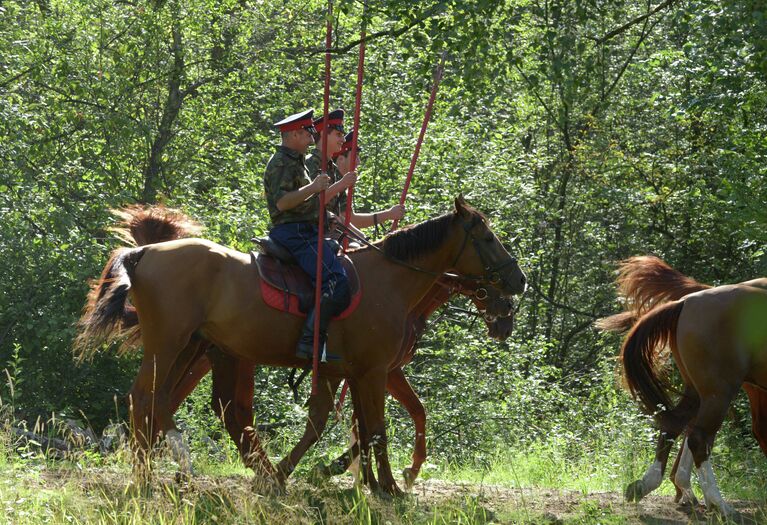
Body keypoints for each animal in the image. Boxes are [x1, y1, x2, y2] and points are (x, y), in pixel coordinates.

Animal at [75, 194, 524, 494]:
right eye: (487, 237)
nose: (517, 284)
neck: (389, 282)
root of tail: (144, 251)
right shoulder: (376, 371)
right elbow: (377, 429)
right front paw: (390, 486)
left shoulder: (345, 371)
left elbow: (342, 424)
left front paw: (345, 478)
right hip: (170, 346)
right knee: (148, 398)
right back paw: (156, 473)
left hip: (193, 349)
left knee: (168, 402)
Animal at [596, 258, 767, 508]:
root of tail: (685, 302)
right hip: (719, 391)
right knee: (699, 437)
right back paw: (718, 504)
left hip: (700, 391)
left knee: (677, 425)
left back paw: (653, 484)